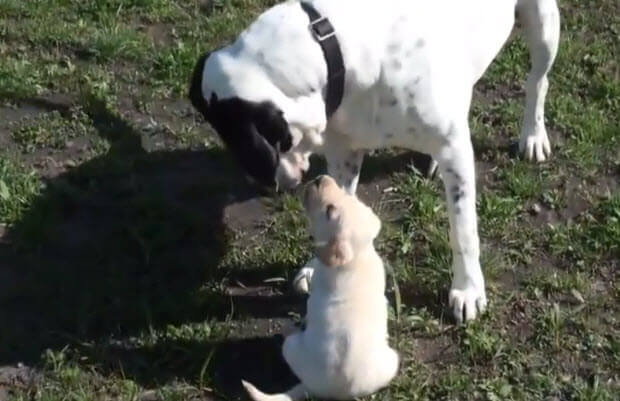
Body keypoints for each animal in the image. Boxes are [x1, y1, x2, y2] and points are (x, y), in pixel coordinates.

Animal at [186, 0, 560, 322]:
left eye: (241, 142)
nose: (261, 181)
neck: (335, 47)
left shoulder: (455, 150)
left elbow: (463, 231)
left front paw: (467, 289)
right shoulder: (344, 155)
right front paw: (315, 267)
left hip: (543, 25)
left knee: (537, 82)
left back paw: (533, 135)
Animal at [240, 175, 400, 400]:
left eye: (330, 210)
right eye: (349, 196)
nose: (319, 178)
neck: (357, 257)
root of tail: (315, 389)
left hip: (290, 346)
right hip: (393, 360)